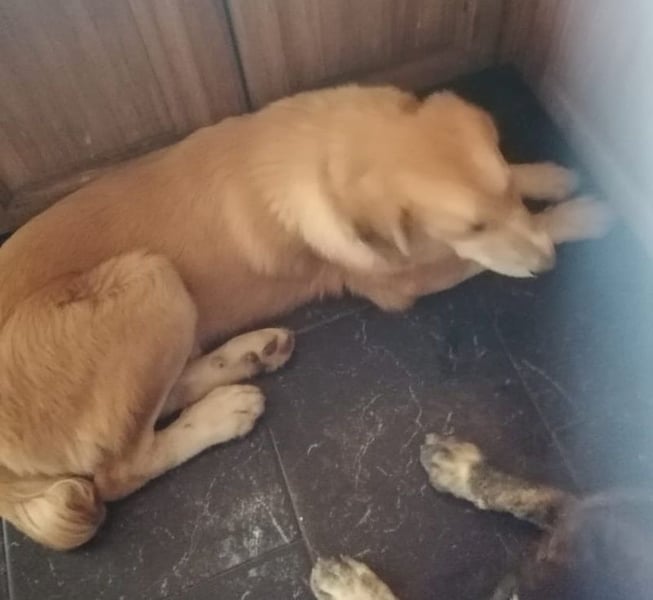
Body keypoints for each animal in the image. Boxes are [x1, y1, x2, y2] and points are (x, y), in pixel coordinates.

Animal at [0, 83, 610, 550]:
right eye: (471, 228)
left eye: (504, 196)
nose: (546, 265)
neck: (331, 149)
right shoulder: (401, 282)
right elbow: (486, 254)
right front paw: (577, 217)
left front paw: (549, 176)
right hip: (149, 278)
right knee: (119, 468)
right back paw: (224, 412)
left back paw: (249, 355)